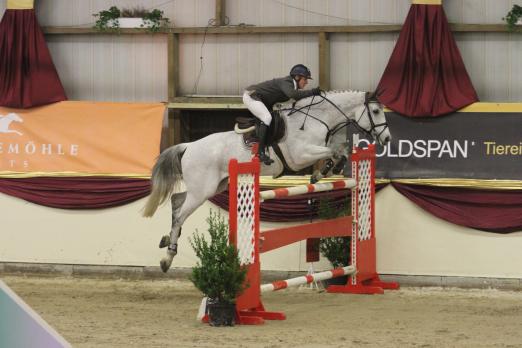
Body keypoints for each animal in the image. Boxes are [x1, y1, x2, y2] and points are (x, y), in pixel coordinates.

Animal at [140, 89, 388, 272]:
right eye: (376, 111)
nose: (386, 138)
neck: (317, 118)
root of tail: (189, 146)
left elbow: (341, 151)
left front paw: (324, 172)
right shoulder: (301, 155)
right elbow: (334, 152)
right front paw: (323, 171)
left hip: (212, 187)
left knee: (176, 200)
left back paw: (166, 240)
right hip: (202, 190)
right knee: (180, 214)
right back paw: (167, 257)